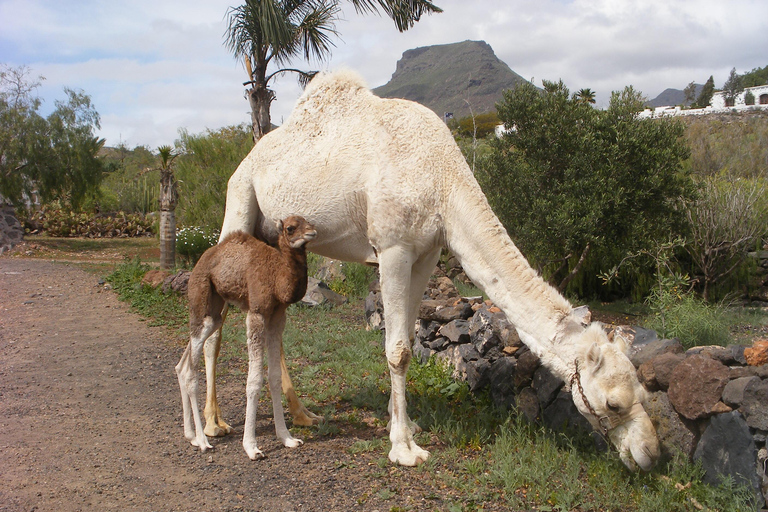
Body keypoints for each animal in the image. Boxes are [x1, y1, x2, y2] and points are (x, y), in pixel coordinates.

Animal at [176, 215, 316, 459]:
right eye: (290, 228)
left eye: (308, 221)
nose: (313, 232)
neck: (276, 276)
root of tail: (200, 261)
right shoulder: (257, 313)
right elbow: (254, 380)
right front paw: (251, 446)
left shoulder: (278, 317)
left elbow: (274, 377)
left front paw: (287, 438)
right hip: (200, 297)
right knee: (192, 371)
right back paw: (203, 440)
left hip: (214, 314)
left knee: (184, 365)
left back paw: (191, 436)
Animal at [207, 70, 660, 470]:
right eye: (613, 402)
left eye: (644, 392)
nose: (652, 454)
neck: (443, 177)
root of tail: (245, 159)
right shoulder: (392, 248)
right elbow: (397, 349)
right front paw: (403, 450)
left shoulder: (425, 252)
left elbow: (408, 338)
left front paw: (406, 426)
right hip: (239, 198)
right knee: (218, 314)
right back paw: (213, 426)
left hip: (274, 237)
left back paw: (302, 416)